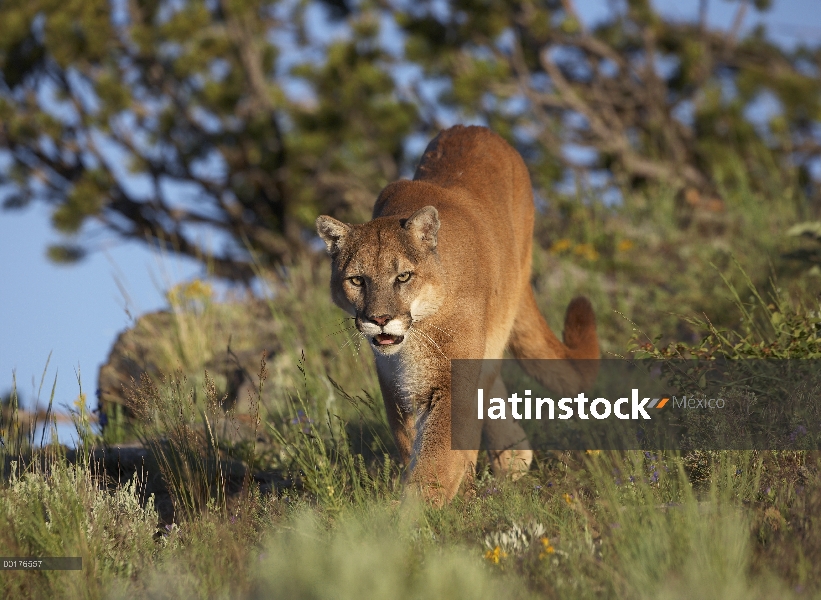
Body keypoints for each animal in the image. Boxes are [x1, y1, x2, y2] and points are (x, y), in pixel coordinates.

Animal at [314, 124, 596, 504]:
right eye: (357, 279)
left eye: (403, 276)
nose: (380, 319)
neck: (416, 338)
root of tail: (476, 128)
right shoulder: (397, 388)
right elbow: (413, 445)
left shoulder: (451, 380)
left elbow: (437, 455)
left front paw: (416, 510)